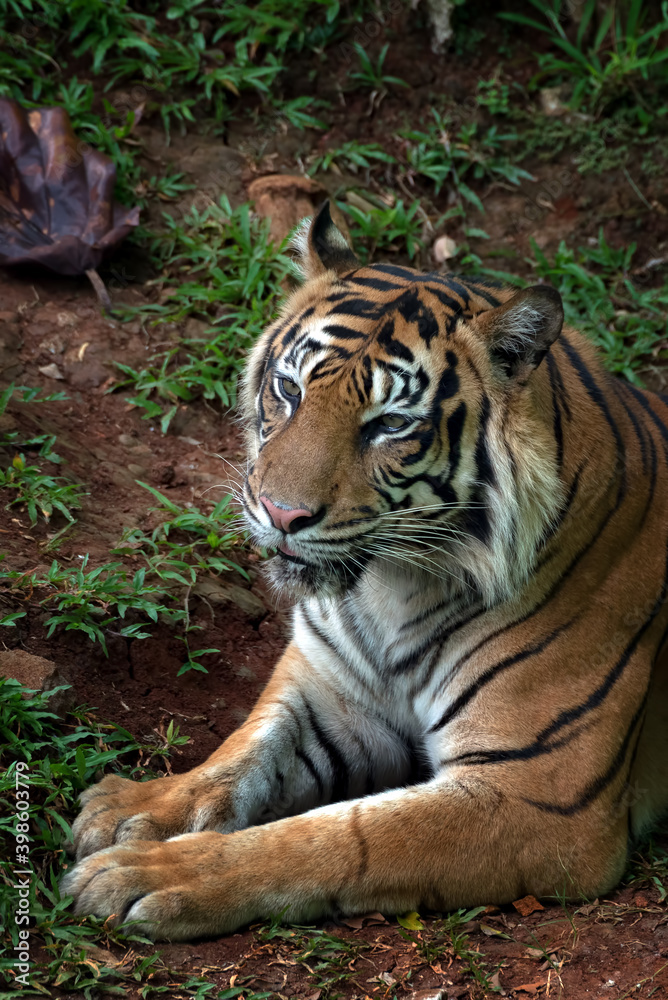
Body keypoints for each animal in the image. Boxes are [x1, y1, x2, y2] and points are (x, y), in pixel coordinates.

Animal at [62, 201, 668, 941]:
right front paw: (136, 807)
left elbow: (339, 838)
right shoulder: (332, 694)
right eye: (288, 389)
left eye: (391, 424)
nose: (281, 512)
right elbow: (244, 751)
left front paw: (153, 872)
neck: (394, 587)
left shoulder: (538, 795)